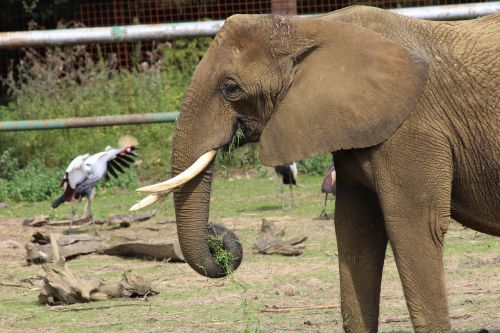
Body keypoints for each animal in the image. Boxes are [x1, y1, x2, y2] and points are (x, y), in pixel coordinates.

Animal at [134, 5, 500, 332]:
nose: (219, 237)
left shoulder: (412, 129)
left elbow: (414, 227)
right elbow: (356, 231)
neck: (312, 27)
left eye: (231, 88)